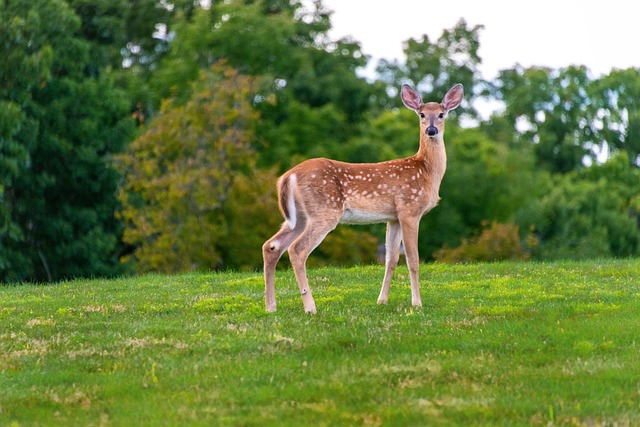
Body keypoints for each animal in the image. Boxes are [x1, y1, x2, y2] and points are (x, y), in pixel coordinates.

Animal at [262, 83, 462, 314]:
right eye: (421, 114)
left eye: (441, 114)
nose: (431, 130)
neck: (427, 171)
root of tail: (287, 176)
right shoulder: (410, 210)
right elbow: (413, 259)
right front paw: (417, 303)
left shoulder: (393, 217)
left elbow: (391, 259)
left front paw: (382, 300)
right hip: (324, 210)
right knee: (297, 250)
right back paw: (310, 307)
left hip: (300, 216)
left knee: (271, 246)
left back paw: (271, 307)